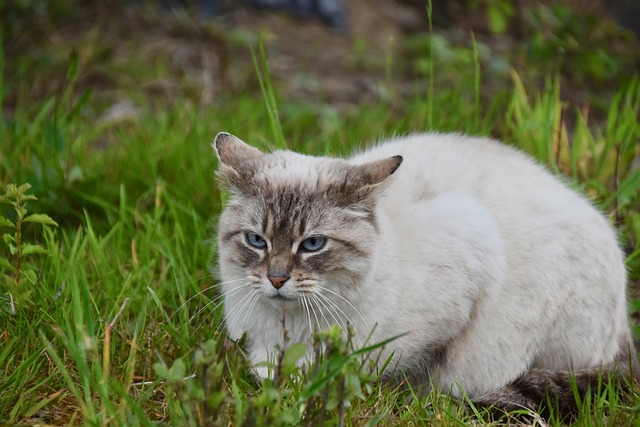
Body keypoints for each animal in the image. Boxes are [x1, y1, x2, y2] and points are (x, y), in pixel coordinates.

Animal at [214, 131, 636, 418]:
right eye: (257, 241)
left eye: (313, 244)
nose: (277, 279)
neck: (292, 329)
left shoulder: (463, 274)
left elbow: (408, 372)